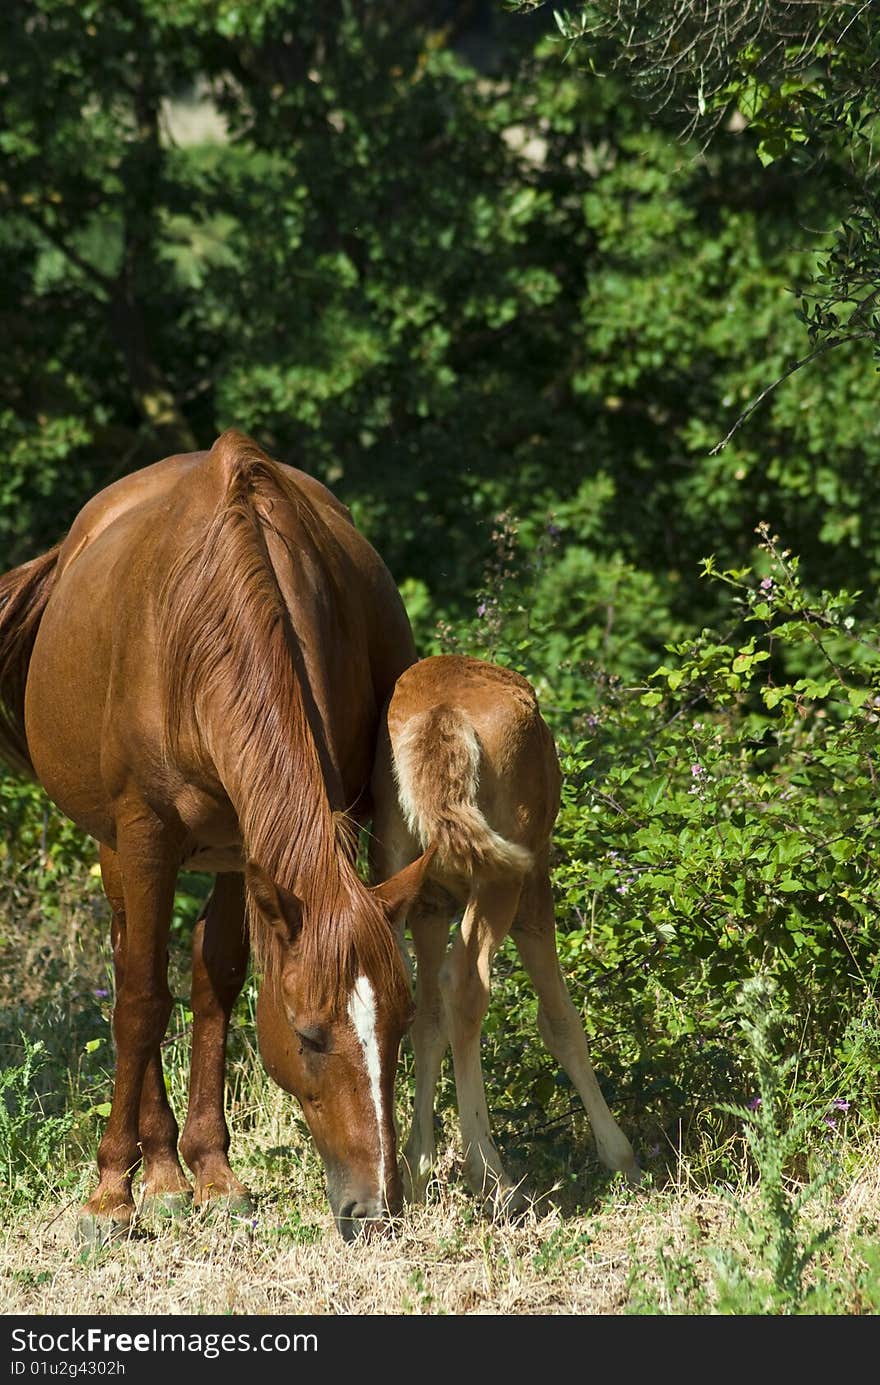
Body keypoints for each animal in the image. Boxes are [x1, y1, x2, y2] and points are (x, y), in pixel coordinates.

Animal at [0, 432, 435, 1246]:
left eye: (400, 1027)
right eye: (308, 1035)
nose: (376, 1208)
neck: (204, 625)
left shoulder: (247, 848)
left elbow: (217, 980)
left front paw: (214, 1175)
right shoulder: (144, 836)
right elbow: (142, 1000)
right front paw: (111, 1195)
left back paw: (175, 1172)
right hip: (115, 847)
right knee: (127, 966)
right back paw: (153, 1169)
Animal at [368, 653, 643, 1207]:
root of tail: (441, 713)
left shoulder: (429, 904)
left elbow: (428, 1022)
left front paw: (419, 1168)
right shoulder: (534, 885)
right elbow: (560, 1022)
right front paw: (621, 1158)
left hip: (405, 874)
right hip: (503, 877)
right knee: (467, 982)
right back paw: (494, 1180)